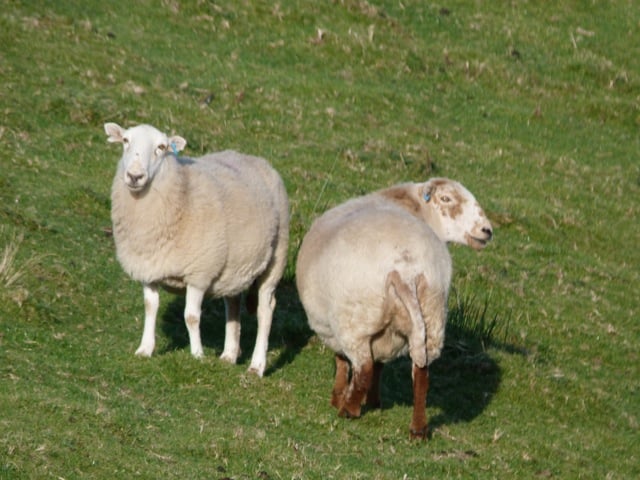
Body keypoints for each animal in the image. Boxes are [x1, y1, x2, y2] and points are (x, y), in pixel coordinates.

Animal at [104, 122, 289, 377]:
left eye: (162, 147)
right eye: (125, 140)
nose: (134, 176)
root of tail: (256, 159)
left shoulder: (199, 274)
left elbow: (191, 317)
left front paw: (197, 355)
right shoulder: (149, 271)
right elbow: (150, 308)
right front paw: (145, 349)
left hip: (275, 259)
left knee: (265, 310)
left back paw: (256, 366)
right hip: (234, 269)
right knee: (233, 305)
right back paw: (229, 354)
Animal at [295, 178, 492, 438]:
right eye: (446, 199)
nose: (487, 230)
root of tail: (407, 270)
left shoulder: (332, 329)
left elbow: (344, 362)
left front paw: (339, 397)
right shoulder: (387, 337)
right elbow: (379, 365)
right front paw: (374, 402)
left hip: (355, 321)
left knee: (364, 368)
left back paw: (348, 409)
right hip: (432, 317)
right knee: (421, 373)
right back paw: (418, 429)